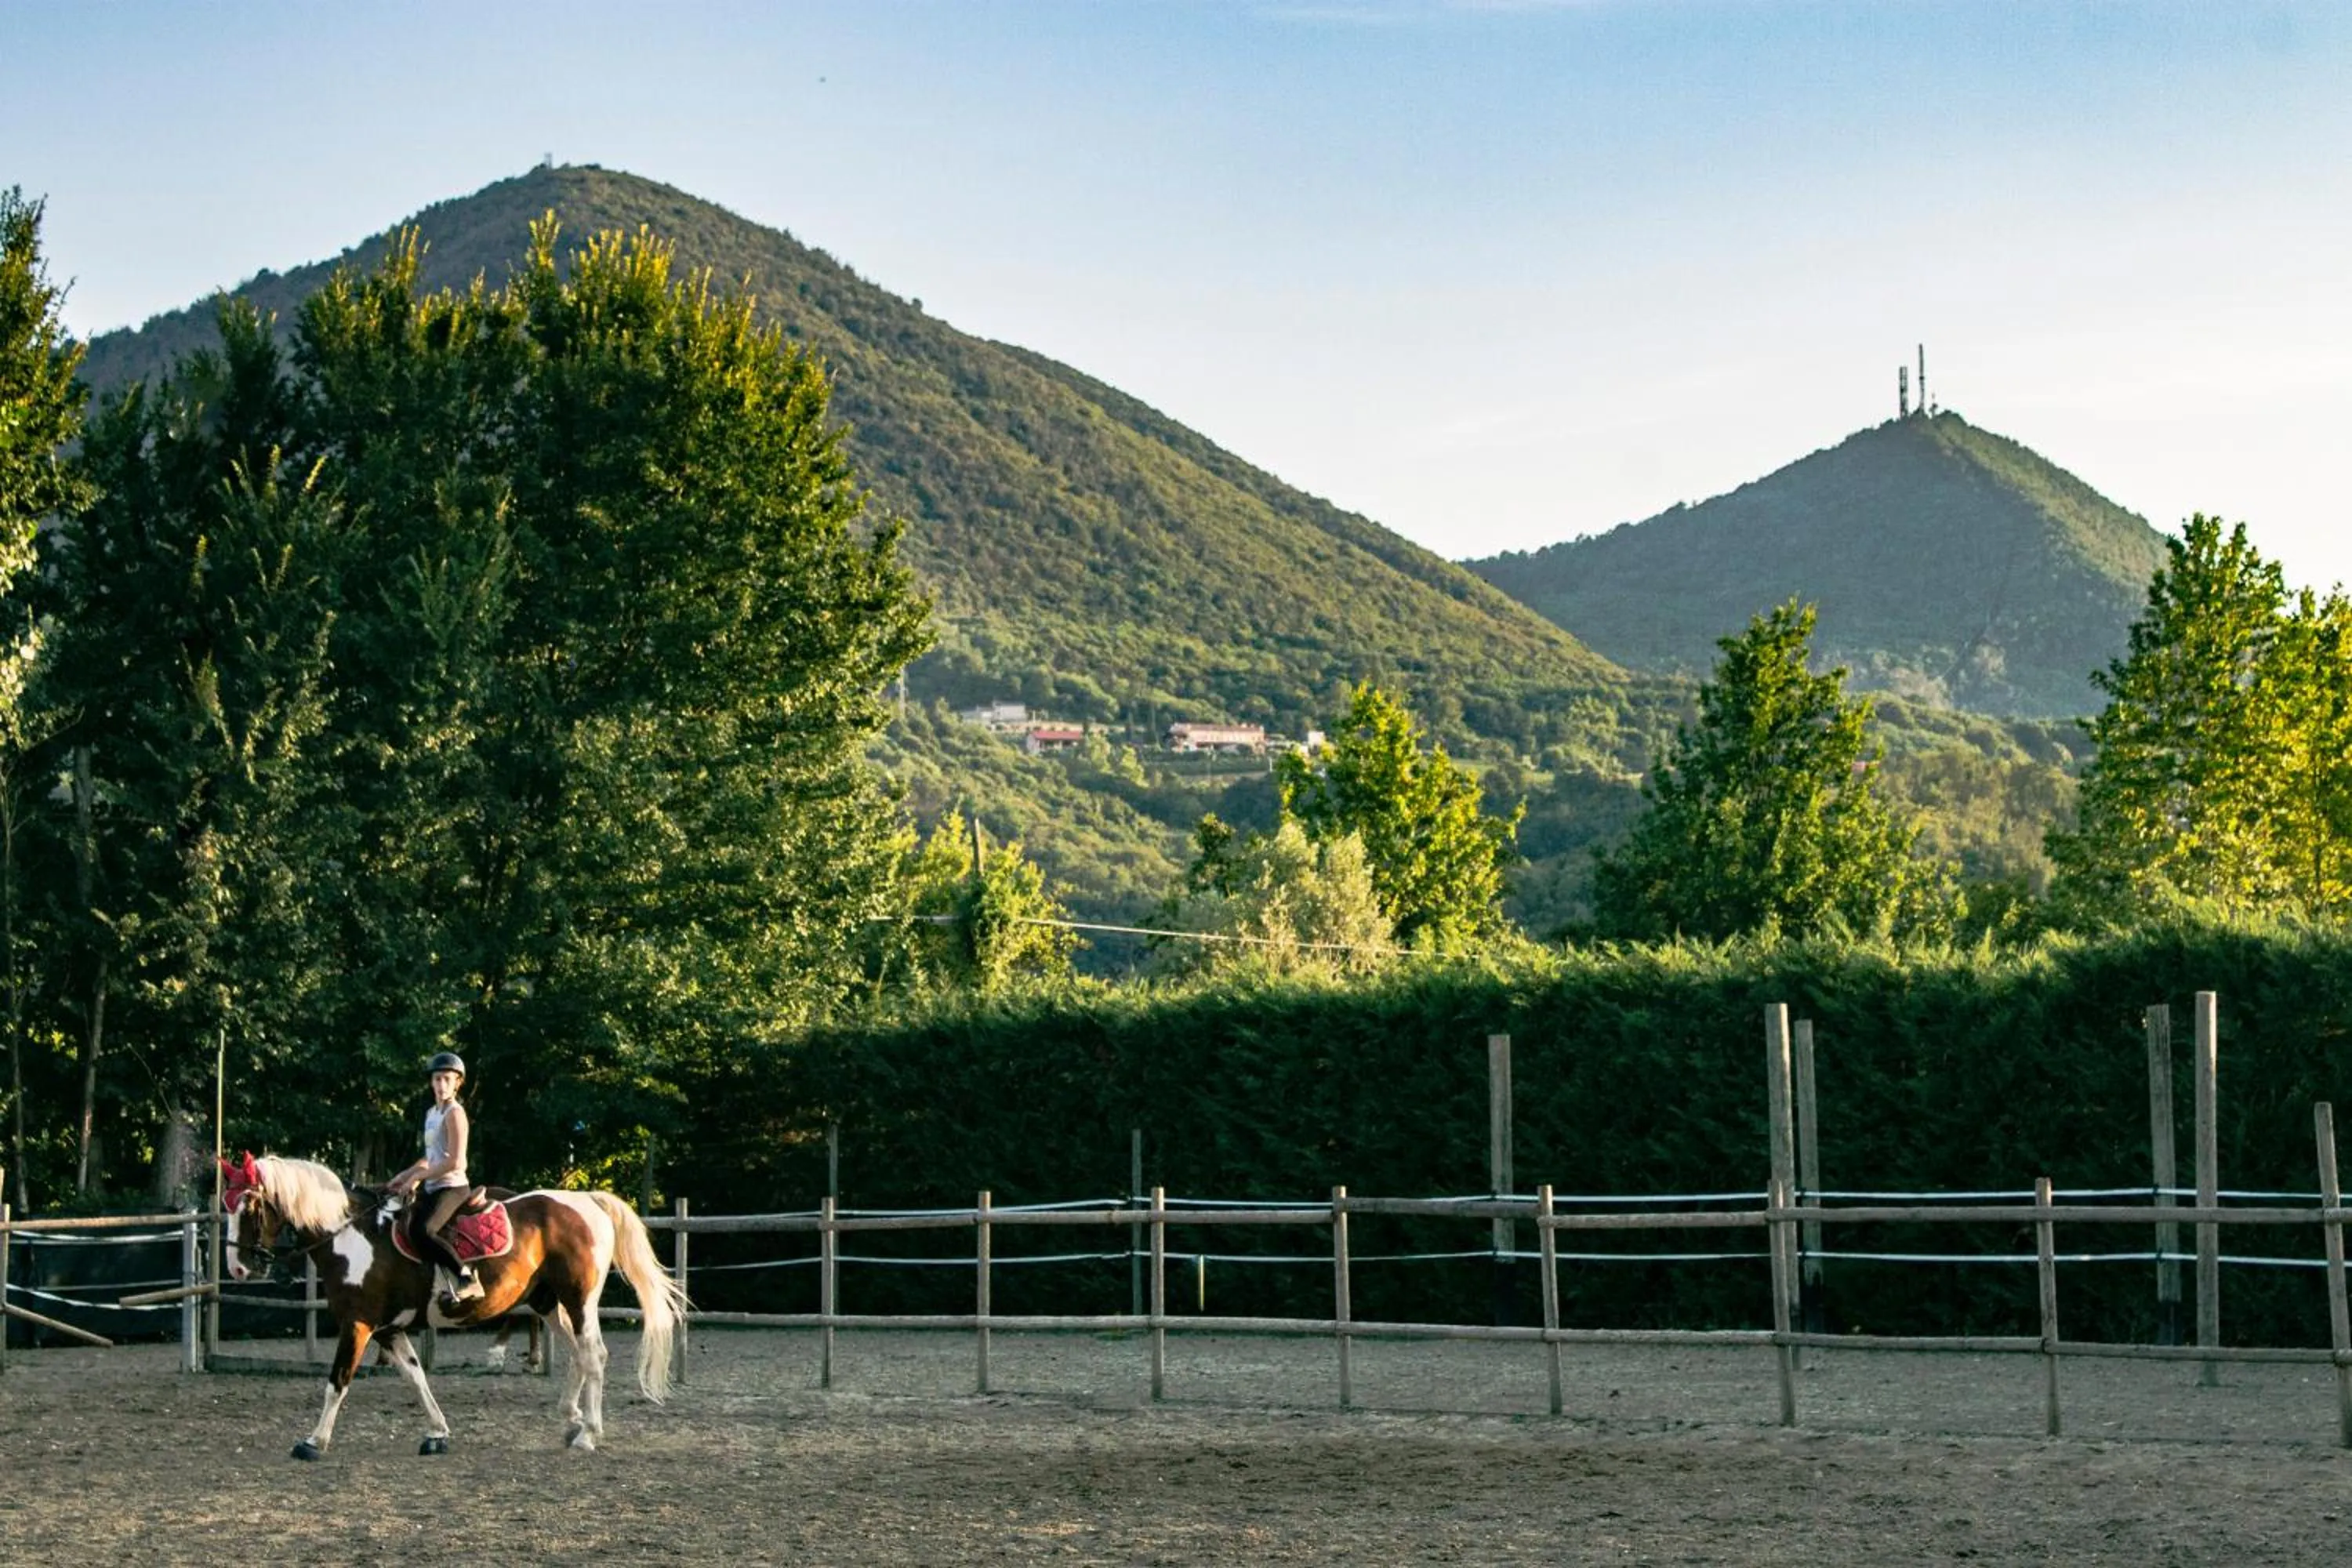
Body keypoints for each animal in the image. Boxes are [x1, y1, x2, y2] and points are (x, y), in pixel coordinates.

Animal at [219, 1151, 687, 1458]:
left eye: (250, 1205)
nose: (239, 1269)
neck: (352, 1237)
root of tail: (587, 1200)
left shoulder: (358, 1324)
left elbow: (338, 1382)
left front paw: (314, 1441)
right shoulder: (388, 1330)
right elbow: (416, 1377)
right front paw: (438, 1433)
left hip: (578, 1300)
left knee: (593, 1355)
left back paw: (589, 1433)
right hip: (544, 1301)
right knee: (578, 1354)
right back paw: (573, 1422)